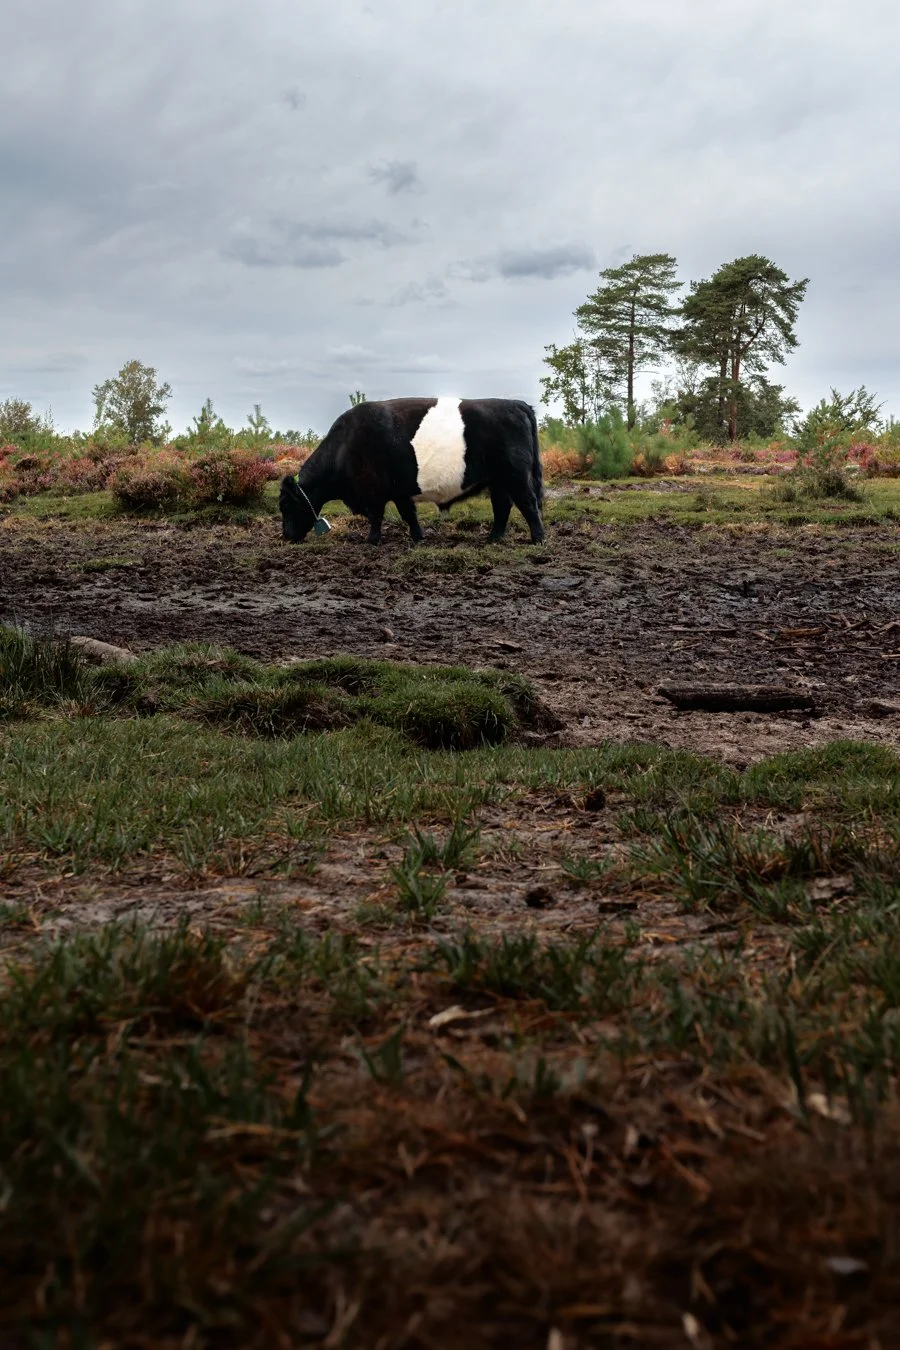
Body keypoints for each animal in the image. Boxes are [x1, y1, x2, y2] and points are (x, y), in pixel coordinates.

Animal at [279, 397, 545, 545]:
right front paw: (418, 536)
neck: (345, 444)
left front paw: (372, 540)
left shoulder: (373, 490)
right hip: (498, 481)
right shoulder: (399, 490)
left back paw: (538, 539)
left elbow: (377, 516)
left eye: (285, 505)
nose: (286, 536)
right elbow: (408, 513)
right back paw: (493, 538)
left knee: (528, 504)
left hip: (516, 477)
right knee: (502, 506)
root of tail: (516, 404)